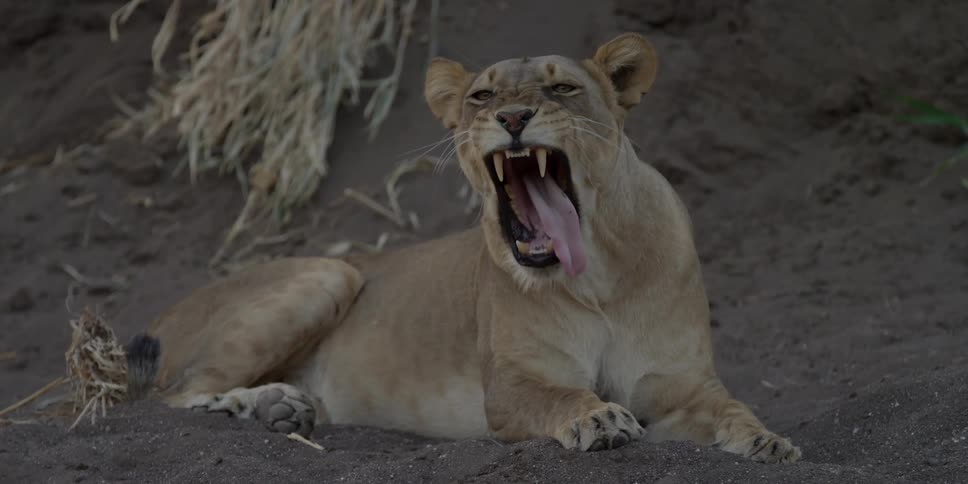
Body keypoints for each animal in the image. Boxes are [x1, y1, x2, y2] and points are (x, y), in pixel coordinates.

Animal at [125, 32, 801, 463]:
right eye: (482, 97)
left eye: (562, 88)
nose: (513, 118)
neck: (598, 277)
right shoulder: (510, 387)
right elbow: (560, 395)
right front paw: (599, 417)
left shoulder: (681, 383)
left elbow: (733, 408)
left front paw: (770, 442)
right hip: (329, 272)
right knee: (169, 398)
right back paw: (265, 407)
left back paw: (283, 411)